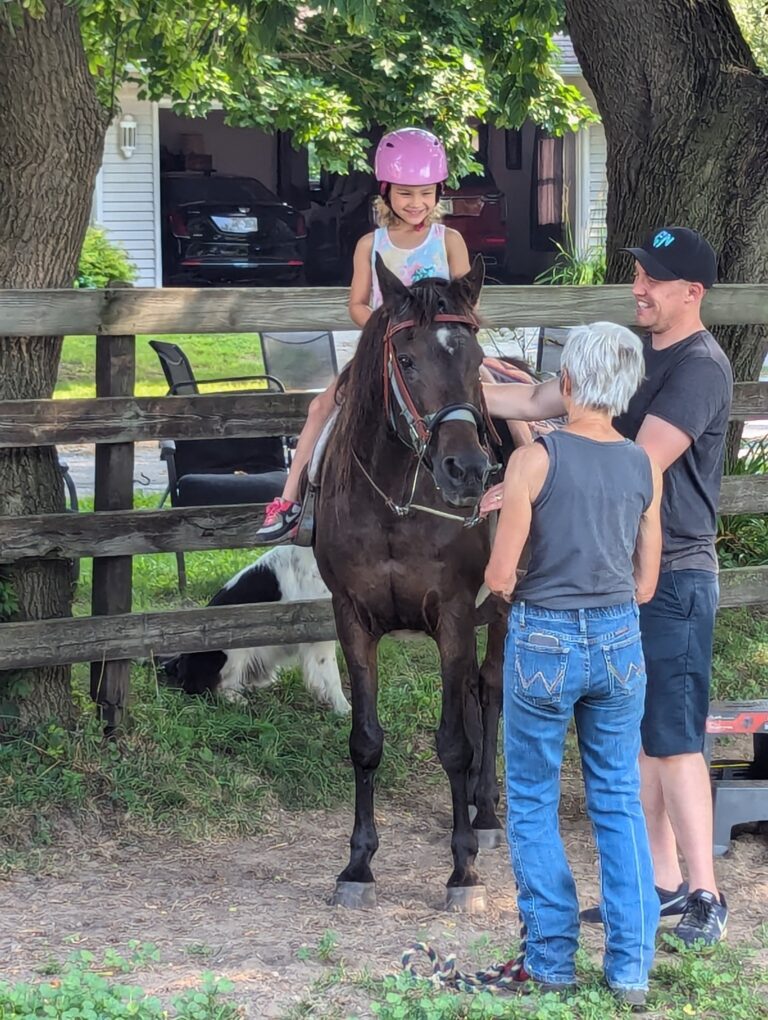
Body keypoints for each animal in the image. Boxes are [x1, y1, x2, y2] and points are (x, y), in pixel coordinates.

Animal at [166, 546, 352, 714]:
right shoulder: (319, 631)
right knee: (209, 686)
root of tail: (180, 661)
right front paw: (343, 709)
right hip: (235, 647)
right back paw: (235, 698)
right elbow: (332, 676)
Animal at [314, 255, 505, 909]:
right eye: (407, 358)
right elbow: (365, 740)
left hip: (501, 607)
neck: (395, 502)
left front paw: (463, 870)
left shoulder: (452, 614)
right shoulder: (351, 618)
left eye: (475, 359)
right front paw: (357, 865)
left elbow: (454, 744)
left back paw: (487, 813)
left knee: (490, 690)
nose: (467, 470)